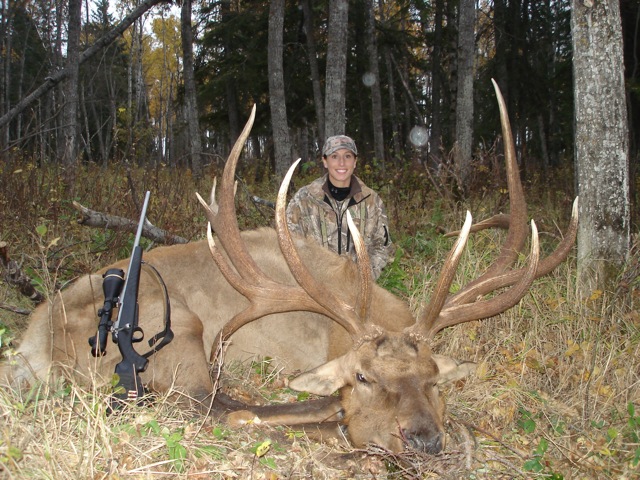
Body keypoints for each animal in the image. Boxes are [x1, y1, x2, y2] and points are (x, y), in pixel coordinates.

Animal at [0, 81, 578, 454]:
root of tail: (29, 346)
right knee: (209, 405)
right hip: (178, 329)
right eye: (362, 376)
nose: (424, 440)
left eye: (434, 379)